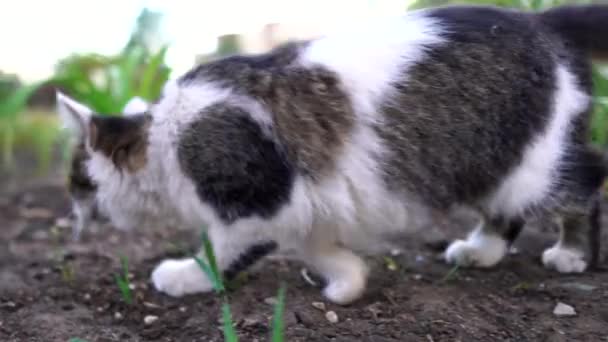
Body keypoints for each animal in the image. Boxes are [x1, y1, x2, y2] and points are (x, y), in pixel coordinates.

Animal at [58, 4, 608, 304]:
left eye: (79, 185)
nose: (72, 221)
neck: (170, 135)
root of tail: (542, 19)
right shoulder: (304, 208)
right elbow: (321, 250)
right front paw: (347, 285)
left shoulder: (257, 199)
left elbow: (221, 253)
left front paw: (186, 276)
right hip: (490, 163)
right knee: (506, 212)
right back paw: (482, 251)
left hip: (531, 166)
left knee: (587, 180)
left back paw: (573, 254)